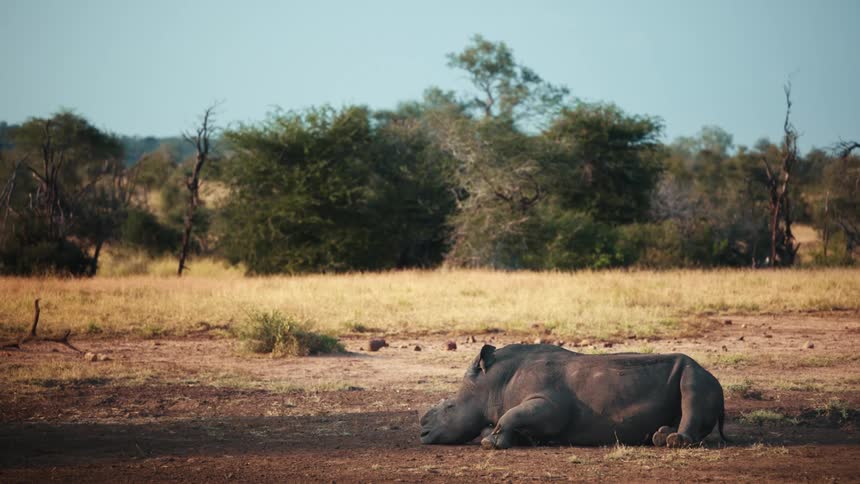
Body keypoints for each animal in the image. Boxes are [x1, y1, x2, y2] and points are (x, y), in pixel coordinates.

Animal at [419, 344, 727, 449]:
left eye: (449, 407)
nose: (422, 430)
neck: (493, 384)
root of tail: (718, 382)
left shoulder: (549, 404)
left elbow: (511, 415)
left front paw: (489, 443)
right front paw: (511, 440)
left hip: (699, 376)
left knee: (692, 390)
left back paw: (673, 442)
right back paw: (660, 437)